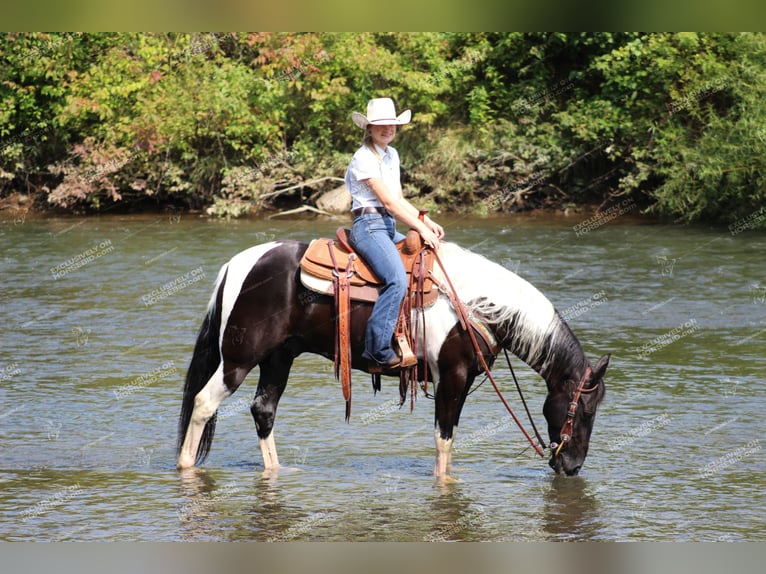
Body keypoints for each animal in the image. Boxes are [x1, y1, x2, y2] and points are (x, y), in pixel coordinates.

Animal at [176, 238, 612, 476]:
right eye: (587, 411)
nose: (572, 467)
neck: (476, 304)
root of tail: (236, 265)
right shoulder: (451, 376)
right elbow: (443, 440)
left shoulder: (463, 379)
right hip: (239, 358)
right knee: (204, 402)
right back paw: (184, 467)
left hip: (278, 357)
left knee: (263, 410)